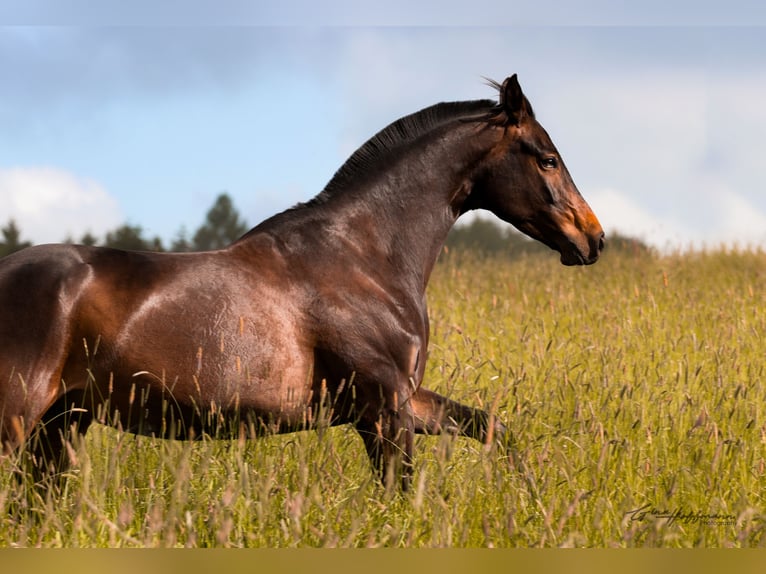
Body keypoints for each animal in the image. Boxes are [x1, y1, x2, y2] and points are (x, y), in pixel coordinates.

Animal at [0, 75, 604, 491]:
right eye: (548, 159)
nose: (593, 239)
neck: (364, 258)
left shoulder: (403, 403)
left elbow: (494, 428)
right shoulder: (383, 409)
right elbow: (403, 494)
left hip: (61, 425)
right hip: (20, 420)